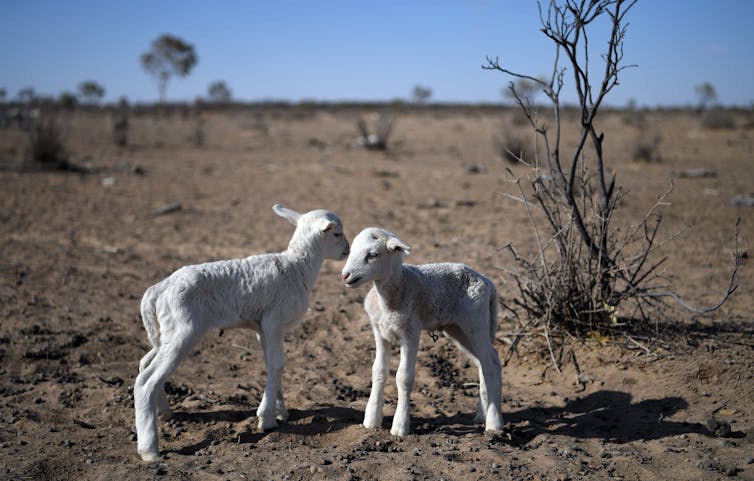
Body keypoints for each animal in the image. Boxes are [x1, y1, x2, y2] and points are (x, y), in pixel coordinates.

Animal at [133, 204, 350, 460]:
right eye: (336, 234)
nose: (347, 250)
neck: (297, 268)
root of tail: (159, 289)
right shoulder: (274, 320)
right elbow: (278, 363)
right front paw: (266, 420)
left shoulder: (263, 327)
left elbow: (272, 364)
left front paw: (280, 412)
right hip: (182, 331)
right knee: (146, 380)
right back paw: (149, 449)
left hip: (165, 332)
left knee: (145, 363)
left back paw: (164, 414)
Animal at [340, 227, 500, 434]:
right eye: (351, 251)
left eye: (372, 255)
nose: (345, 275)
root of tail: (488, 282)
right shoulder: (379, 332)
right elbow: (378, 371)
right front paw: (371, 420)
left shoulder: (411, 333)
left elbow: (404, 377)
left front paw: (400, 427)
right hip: (458, 330)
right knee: (486, 362)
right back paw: (482, 415)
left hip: (476, 324)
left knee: (490, 366)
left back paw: (493, 423)